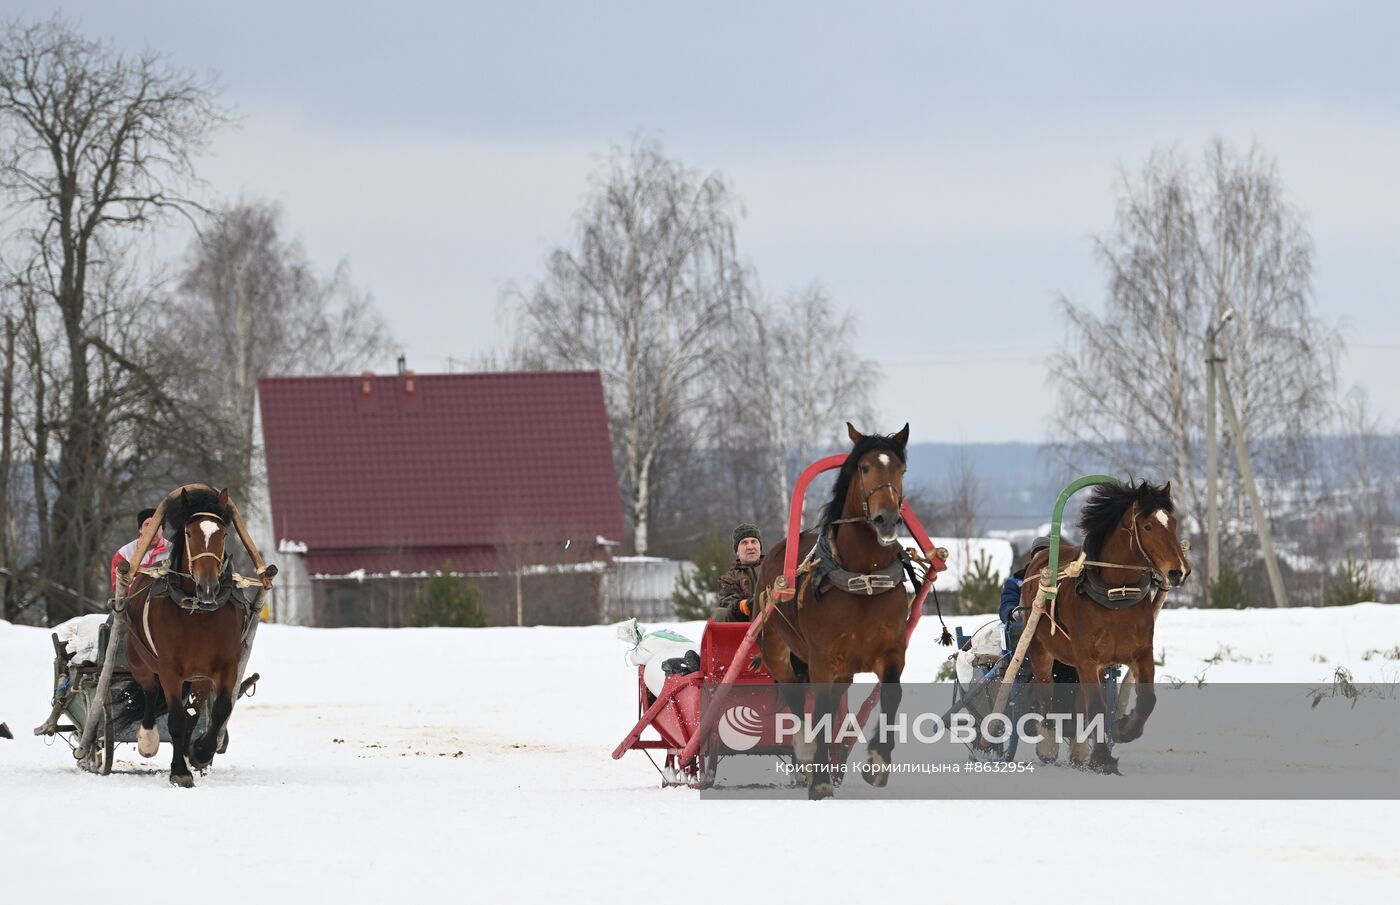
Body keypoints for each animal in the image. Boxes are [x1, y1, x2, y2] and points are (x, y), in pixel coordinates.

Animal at [123, 490, 246, 784]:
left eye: (223, 533)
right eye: (189, 533)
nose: (208, 587)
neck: (198, 612)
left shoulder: (226, 667)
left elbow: (220, 709)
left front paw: (200, 752)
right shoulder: (170, 670)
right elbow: (175, 719)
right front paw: (179, 771)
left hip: (198, 677)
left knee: (193, 713)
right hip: (140, 661)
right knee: (149, 691)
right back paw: (148, 739)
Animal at [761, 425, 912, 801]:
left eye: (901, 470)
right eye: (865, 468)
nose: (887, 519)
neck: (863, 577)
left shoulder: (891, 651)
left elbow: (892, 694)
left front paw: (877, 762)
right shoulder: (822, 658)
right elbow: (820, 712)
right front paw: (819, 779)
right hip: (777, 650)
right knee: (796, 696)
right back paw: (806, 753)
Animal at [1019, 481, 1192, 773]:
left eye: (1173, 523)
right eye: (1148, 526)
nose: (1178, 571)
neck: (1116, 598)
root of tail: (1041, 557)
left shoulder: (1141, 654)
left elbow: (1146, 700)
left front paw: (1123, 729)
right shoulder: (1087, 658)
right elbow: (1098, 707)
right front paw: (1103, 759)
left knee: (1080, 704)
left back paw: (1079, 747)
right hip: (1040, 649)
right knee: (1046, 695)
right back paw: (1048, 745)